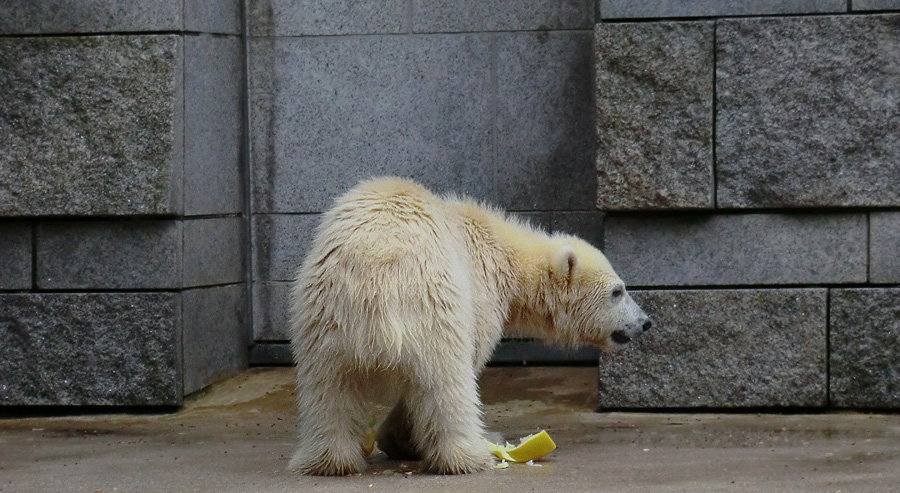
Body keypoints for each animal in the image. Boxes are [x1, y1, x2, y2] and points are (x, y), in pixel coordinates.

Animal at [286, 177, 648, 472]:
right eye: (618, 291)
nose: (645, 322)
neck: (505, 251)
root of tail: (376, 280)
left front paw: (395, 441)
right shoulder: (480, 291)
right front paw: (403, 440)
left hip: (324, 317)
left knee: (329, 388)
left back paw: (330, 461)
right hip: (432, 308)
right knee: (447, 382)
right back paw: (470, 455)